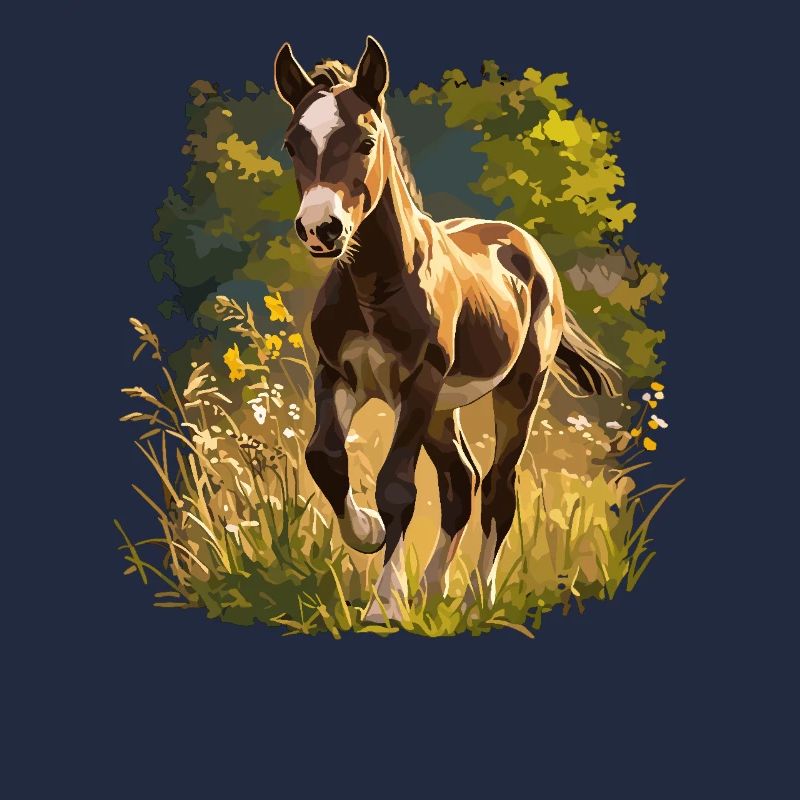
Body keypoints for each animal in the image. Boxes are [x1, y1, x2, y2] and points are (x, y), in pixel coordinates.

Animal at [274, 36, 619, 623]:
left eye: (365, 141)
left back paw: (479, 599)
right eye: (293, 144)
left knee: (498, 488)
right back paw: (434, 590)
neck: (375, 285)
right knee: (461, 480)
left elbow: (397, 487)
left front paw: (385, 606)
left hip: (516, 390)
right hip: (442, 410)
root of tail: (528, 251)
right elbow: (325, 457)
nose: (321, 229)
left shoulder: (418, 384)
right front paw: (367, 533)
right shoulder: (338, 375)